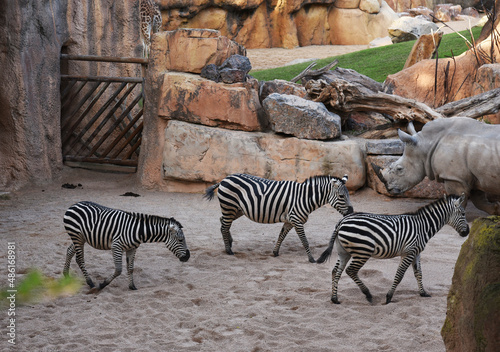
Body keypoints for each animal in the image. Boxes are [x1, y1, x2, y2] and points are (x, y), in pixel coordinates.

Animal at [61, 201, 189, 292]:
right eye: (181, 240)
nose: (188, 257)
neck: (138, 231)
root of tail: (74, 204)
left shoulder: (132, 248)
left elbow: (131, 268)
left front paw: (132, 286)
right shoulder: (116, 246)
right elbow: (118, 270)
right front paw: (102, 284)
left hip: (81, 238)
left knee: (70, 251)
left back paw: (66, 275)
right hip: (77, 236)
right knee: (80, 259)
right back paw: (90, 283)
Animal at [202, 173, 352, 262]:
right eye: (341, 196)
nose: (351, 211)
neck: (305, 197)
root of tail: (224, 178)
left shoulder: (289, 221)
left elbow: (281, 235)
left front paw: (275, 252)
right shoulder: (297, 220)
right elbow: (305, 241)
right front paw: (311, 259)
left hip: (236, 210)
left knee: (223, 222)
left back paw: (230, 242)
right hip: (230, 206)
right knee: (224, 226)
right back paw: (228, 250)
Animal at [316, 194, 468, 304]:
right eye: (463, 214)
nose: (467, 232)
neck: (423, 226)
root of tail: (341, 221)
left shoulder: (416, 252)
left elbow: (418, 273)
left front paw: (423, 293)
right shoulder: (408, 252)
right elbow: (399, 275)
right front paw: (389, 297)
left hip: (344, 251)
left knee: (336, 271)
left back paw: (334, 299)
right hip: (363, 251)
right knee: (351, 271)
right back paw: (368, 294)